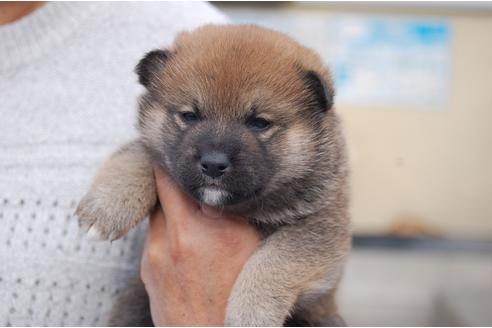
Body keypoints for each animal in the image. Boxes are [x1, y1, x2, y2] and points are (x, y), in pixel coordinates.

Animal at [76, 25, 350, 326]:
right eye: (189, 116)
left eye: (259, 123)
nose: (213, 164)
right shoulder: (158, 152)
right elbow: (138, 154)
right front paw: (108, 207)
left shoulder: (321, 225)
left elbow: (273, 261)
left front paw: (250, 313)